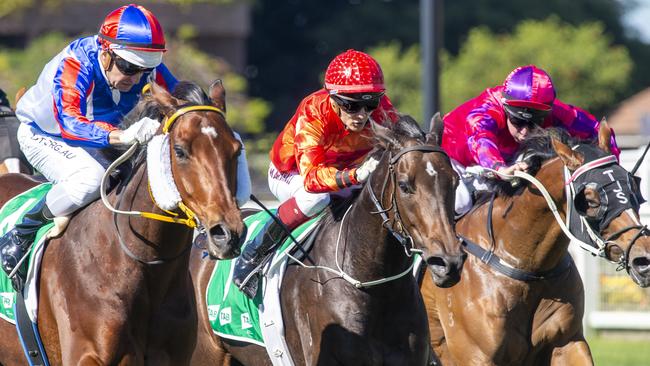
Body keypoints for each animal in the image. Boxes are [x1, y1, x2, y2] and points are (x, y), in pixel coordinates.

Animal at [420, 123, 648, 366]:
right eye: (591, 200)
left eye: (633, 187)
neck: (527, 266)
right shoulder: (475, 356)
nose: (643, 259)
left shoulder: (568, 341)